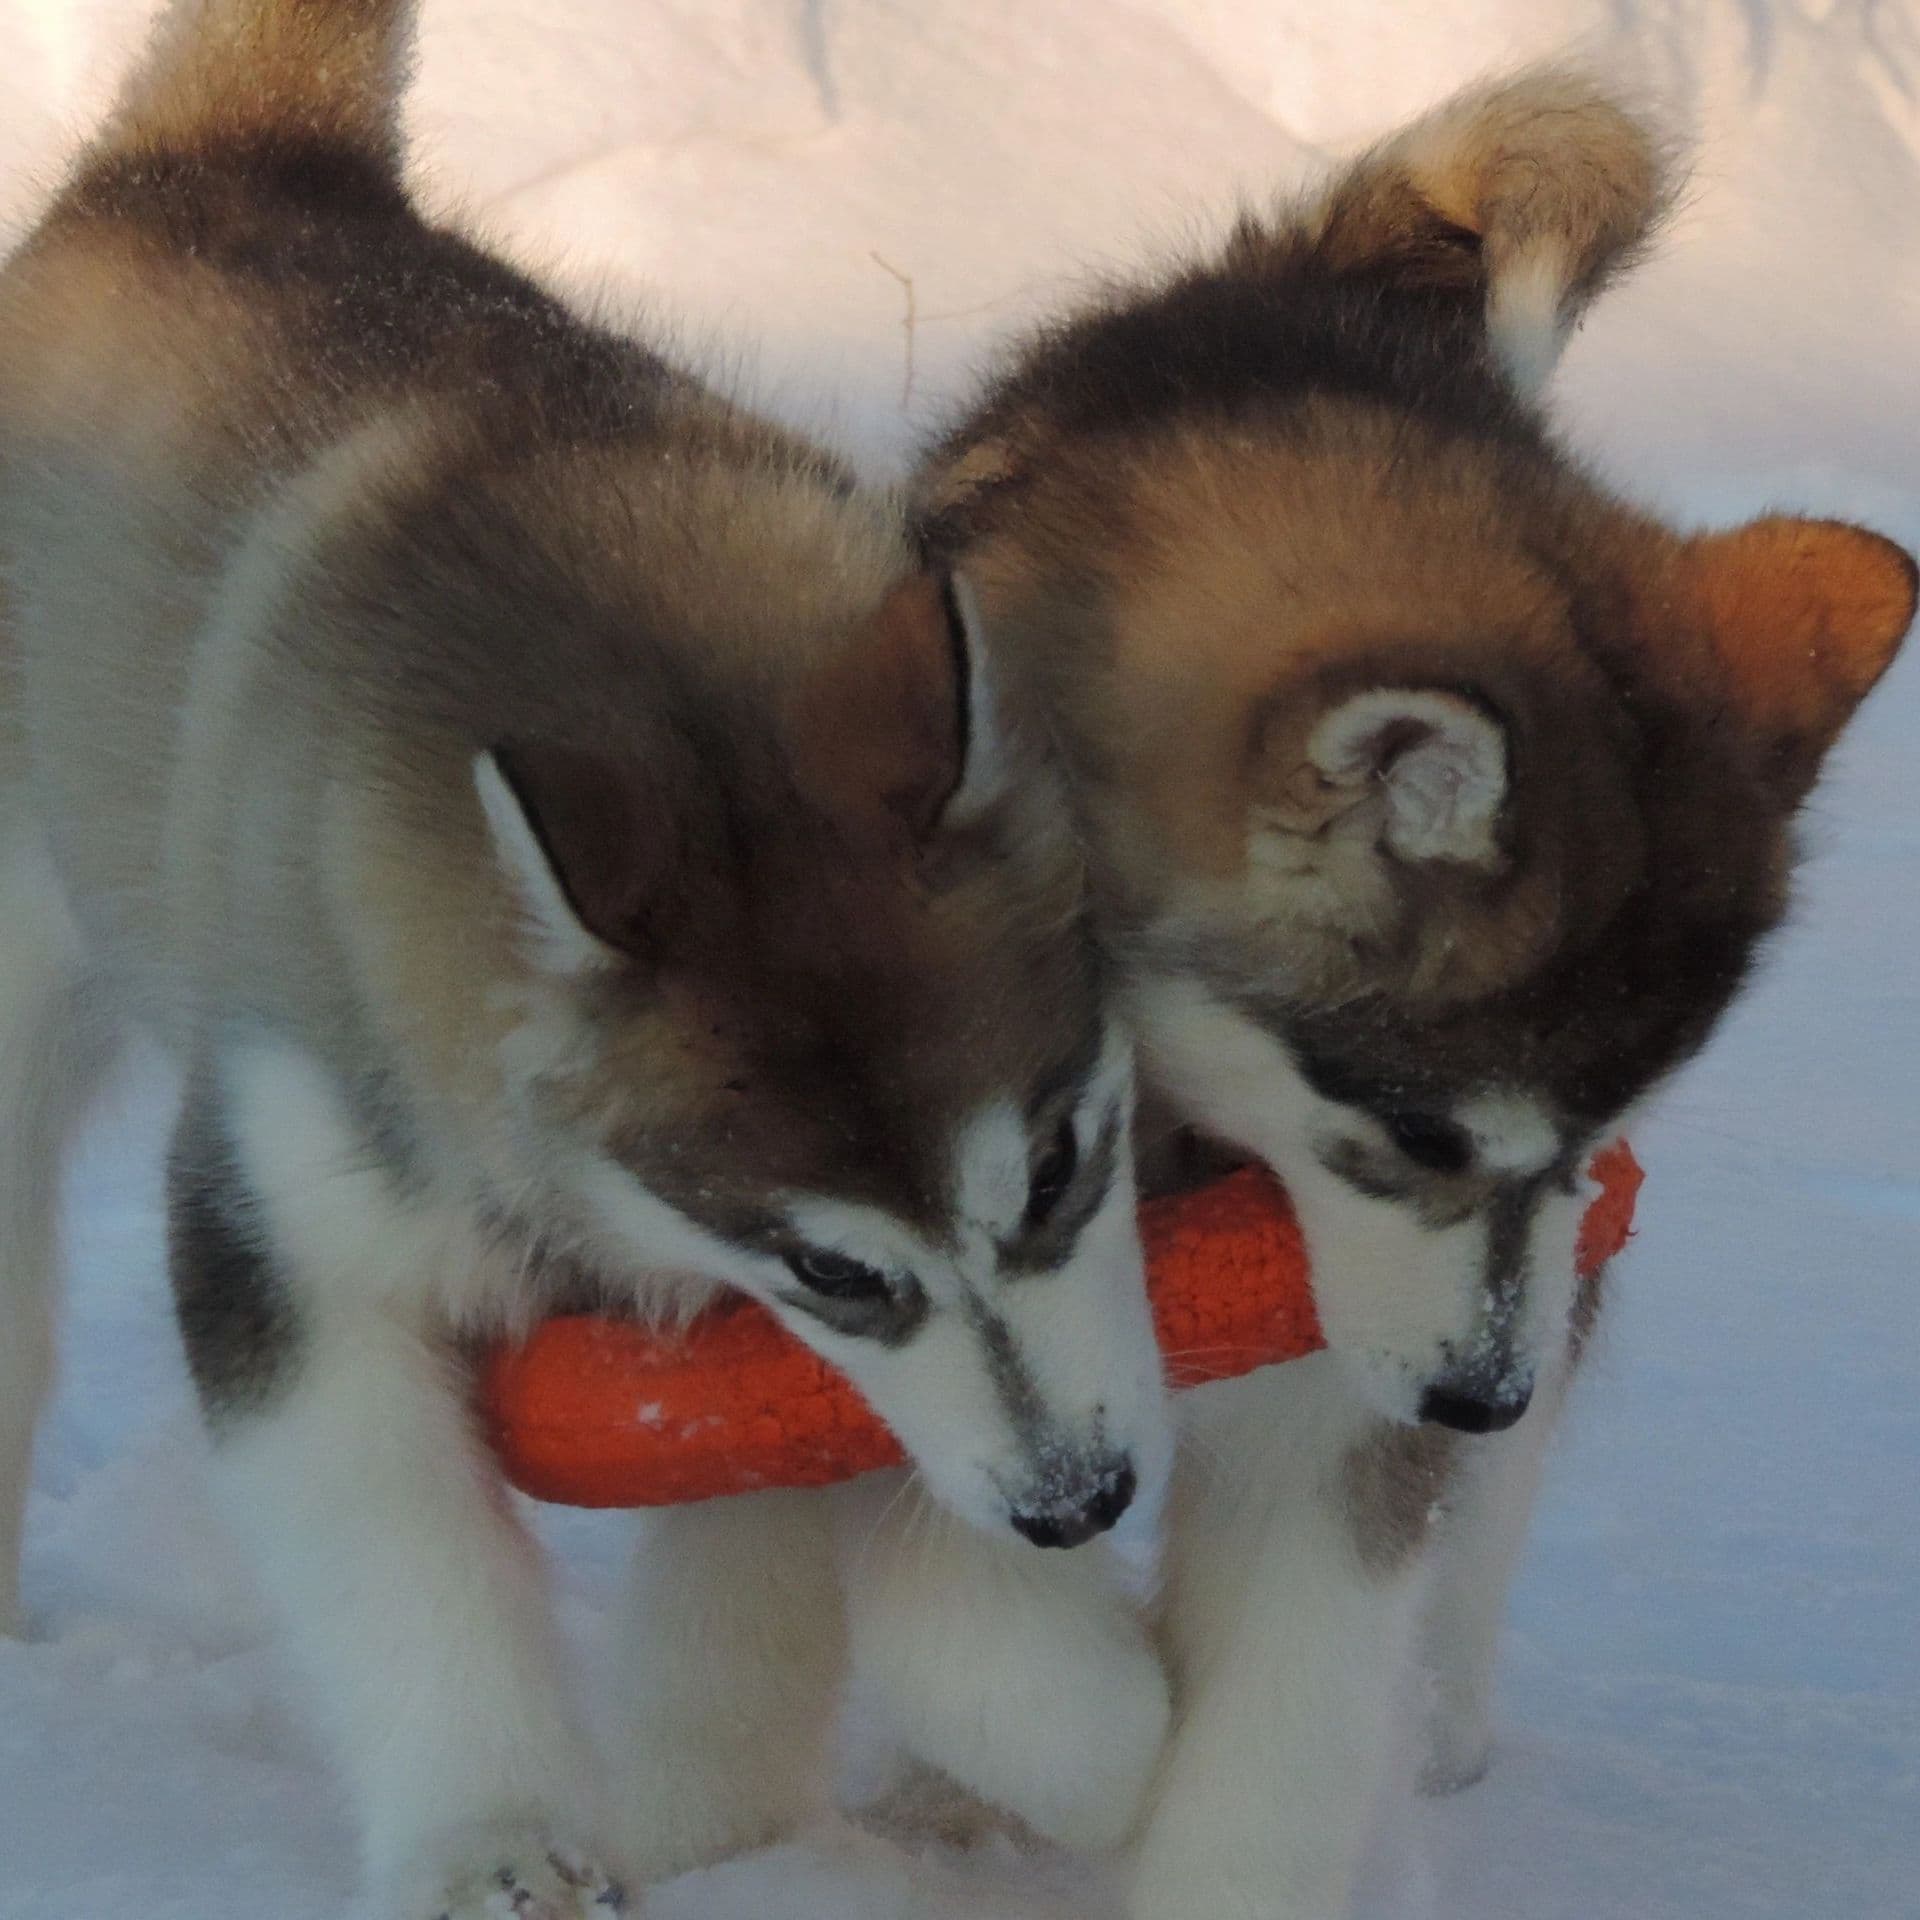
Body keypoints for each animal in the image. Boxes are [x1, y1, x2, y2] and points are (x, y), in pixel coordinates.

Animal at [0, 7, 1167, 1912]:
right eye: (834, 1266)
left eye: (1065, 1164)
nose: (1083, 1503)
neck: (666, 685)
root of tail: (211, 158)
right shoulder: (284, 1232)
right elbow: (407, 1583)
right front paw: (490, 1840)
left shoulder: (757, 1352)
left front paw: (1078, 1718)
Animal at [829, 67, 1920, 1912]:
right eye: (1416, 1130)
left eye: (1595, 1135)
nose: (1478, 1395)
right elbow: (958, 1579)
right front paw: (1061, 1756)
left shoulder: (1342, 1409)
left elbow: (1283, 1734)